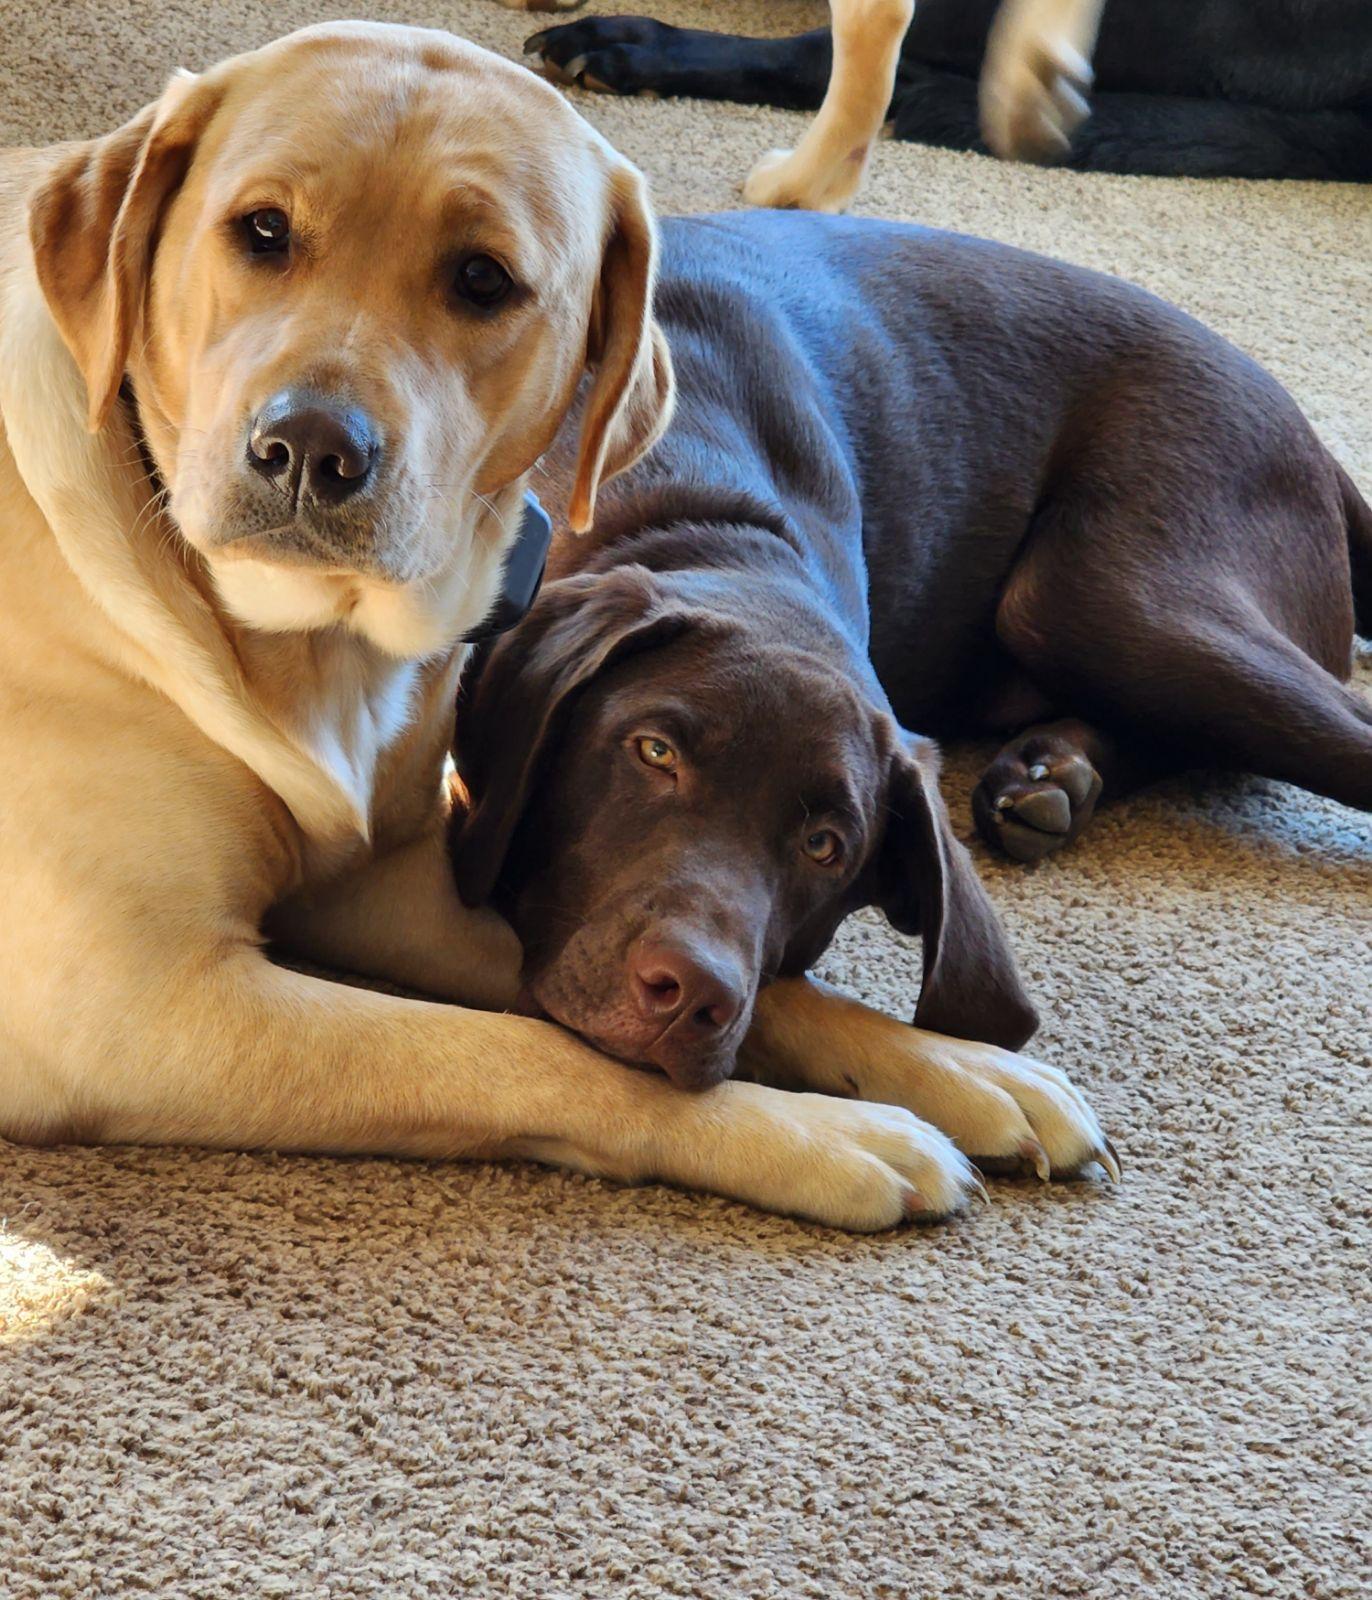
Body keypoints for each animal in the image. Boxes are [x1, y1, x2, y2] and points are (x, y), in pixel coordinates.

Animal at [0, 22, 1115, 1233]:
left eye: (483, 280)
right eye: (261, 231)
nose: (310, 450)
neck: (301, 646)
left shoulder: (394, 877)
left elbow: (735, 985)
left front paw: (961, 1065)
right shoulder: (132, 1008)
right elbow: (526, 1055)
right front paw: (825, 1132)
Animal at [452, 209, 1371, 1097]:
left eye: (827, 846)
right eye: (652, 752)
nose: (693, 995)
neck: (710, 513)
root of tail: (1316, 443)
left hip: (1103, 590)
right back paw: (1053, 777)